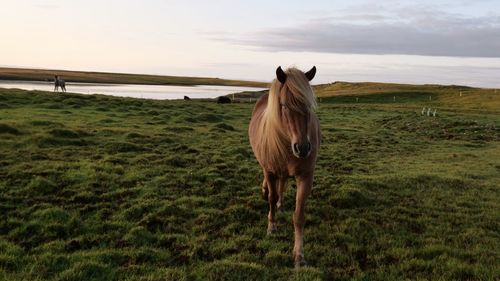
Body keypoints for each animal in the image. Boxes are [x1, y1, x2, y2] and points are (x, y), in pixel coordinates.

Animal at [247, 64, 320, 266]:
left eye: (308, 106)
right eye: (285, 105)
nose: (302, 148)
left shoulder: (305, 176)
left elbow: (299, 216)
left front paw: (299, 255)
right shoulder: (270, 170)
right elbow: (271, 198)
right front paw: (271, 227)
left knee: (282, 183)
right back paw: (266, 192)